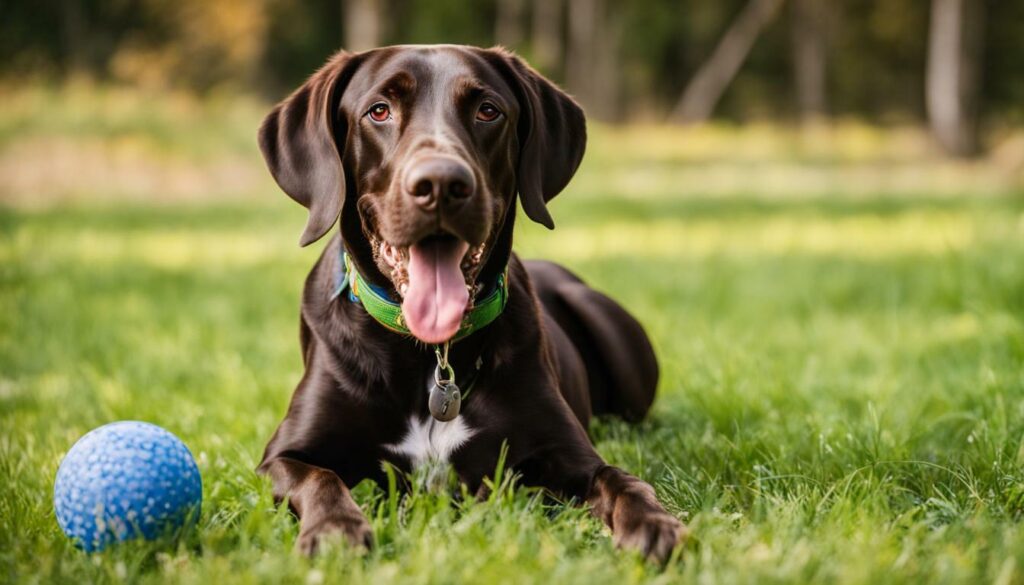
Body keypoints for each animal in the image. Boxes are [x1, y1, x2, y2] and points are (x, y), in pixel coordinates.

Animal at [256, 44, 688, 561]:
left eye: (488, 111)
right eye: (379, 111)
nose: (441, 184)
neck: (432, 358)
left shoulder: (570, 454)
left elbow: (621, 479)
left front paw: (653, 522)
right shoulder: (281, 456)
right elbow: (318, 477)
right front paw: (335, 528)